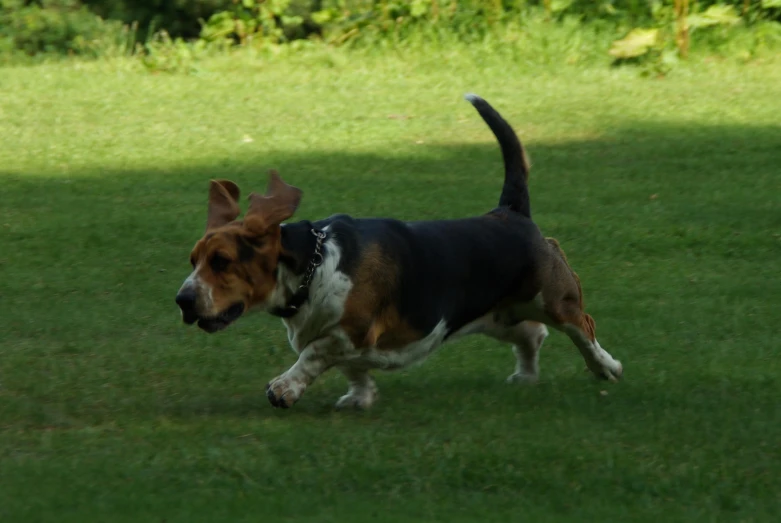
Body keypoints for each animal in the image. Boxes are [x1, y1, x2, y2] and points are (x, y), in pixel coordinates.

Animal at [175, 96, 620, 412]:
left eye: (222, 262)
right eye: (193, 261)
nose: (182, 300)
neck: (315, 266)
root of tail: (510, 212)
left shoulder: (349, 331)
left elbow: (314, 355)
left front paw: (285, 388)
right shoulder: (345, 342)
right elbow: (351, 367)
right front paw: (360, 398)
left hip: (556, 300)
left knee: (582, 328)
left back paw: (606, 367)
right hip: (499, 314)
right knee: (532, 335)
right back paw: (525, 379)